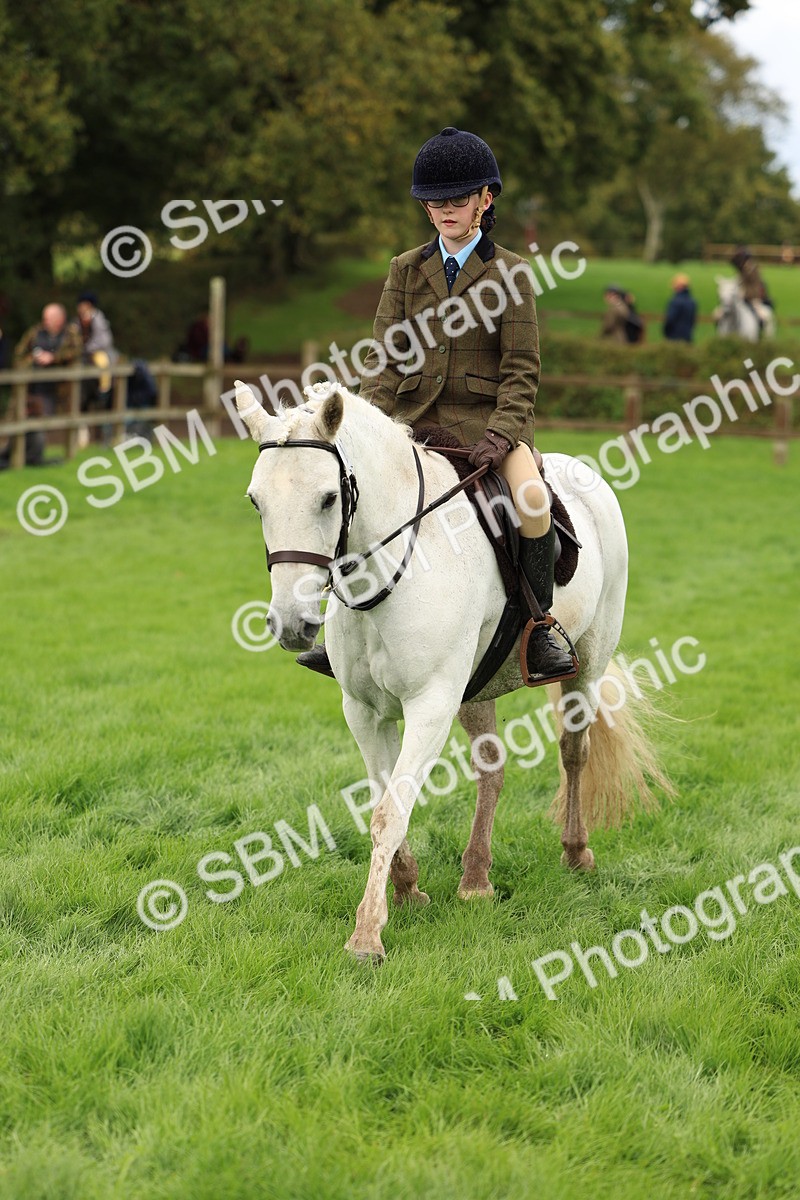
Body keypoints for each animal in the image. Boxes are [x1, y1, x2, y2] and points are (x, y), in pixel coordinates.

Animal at [234, 380, 671, 962]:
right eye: (256, 500)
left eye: (327, 498)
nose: (290, 623)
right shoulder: (365, 712)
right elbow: (382, 802)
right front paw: (407, 889)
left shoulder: (430, 705)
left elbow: (390, 812)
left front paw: (367, 934)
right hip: (477, 689)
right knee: (492, 770)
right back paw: (476, 879)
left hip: (588, 665)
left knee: (574, 751)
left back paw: (576, 853)